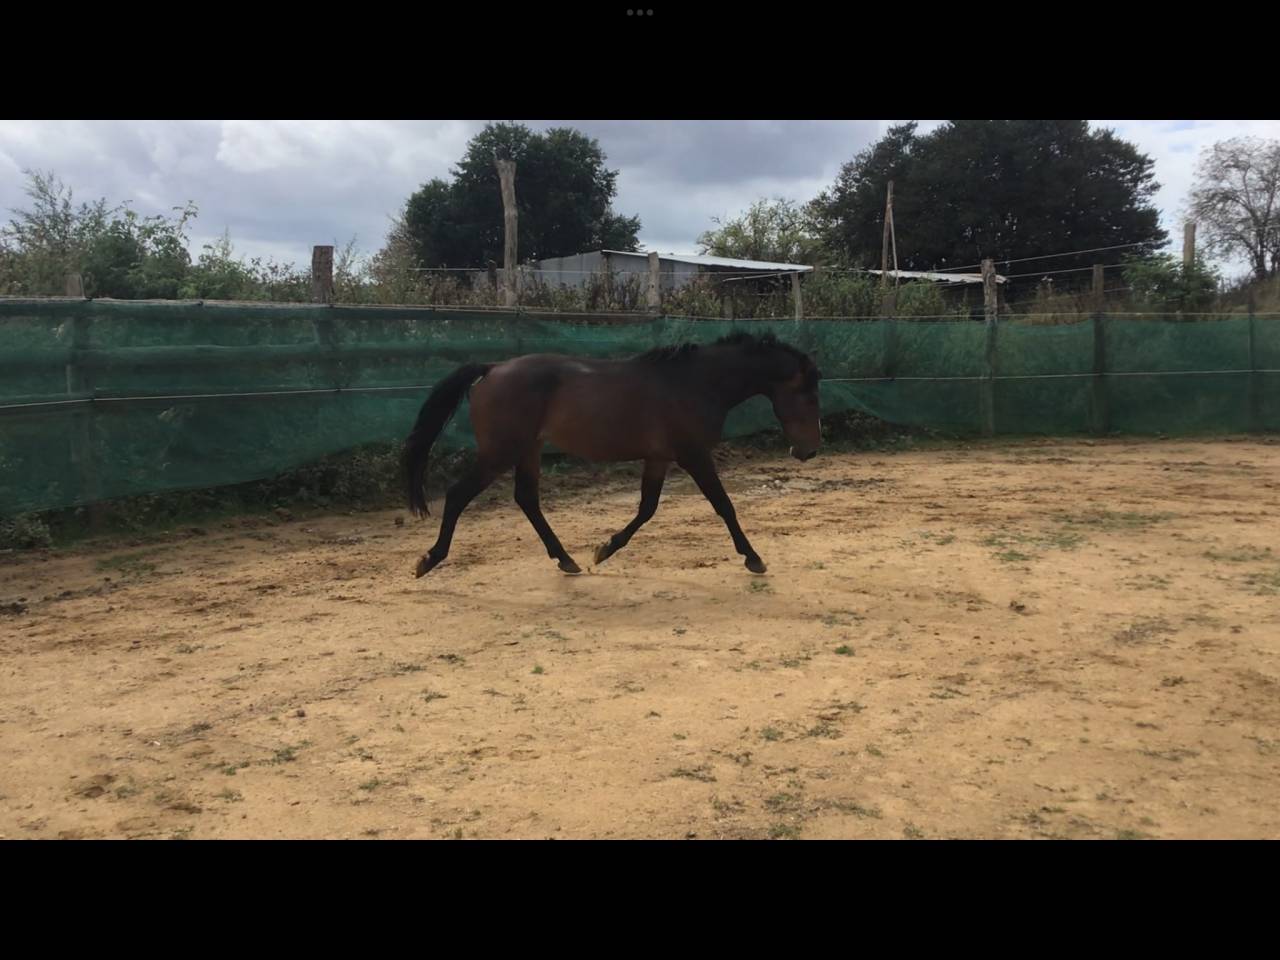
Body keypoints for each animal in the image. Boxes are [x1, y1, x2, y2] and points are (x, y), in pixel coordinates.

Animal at [403, 331, 822, 578]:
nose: (808, 450)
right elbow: (724, 505)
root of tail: (492, 368)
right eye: (806, 392)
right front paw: (753, 558)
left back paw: (567, 560)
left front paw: (603, 549)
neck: (695, 382)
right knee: (458, 495)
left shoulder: (659, 458)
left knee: (527, 499)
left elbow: (647, 509)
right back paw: (429, 560)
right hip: (500, 452)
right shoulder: (694, 455)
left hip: (528, 450)